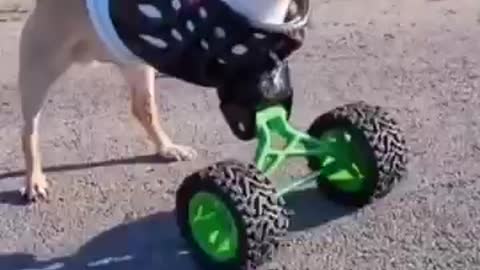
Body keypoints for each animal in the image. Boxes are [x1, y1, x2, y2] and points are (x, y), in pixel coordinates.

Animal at [15, 0, 312, 201]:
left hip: (135, 64)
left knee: (143, 108)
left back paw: (168, 148)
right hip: (39, 66)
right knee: (29, 128)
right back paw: (34, 179)